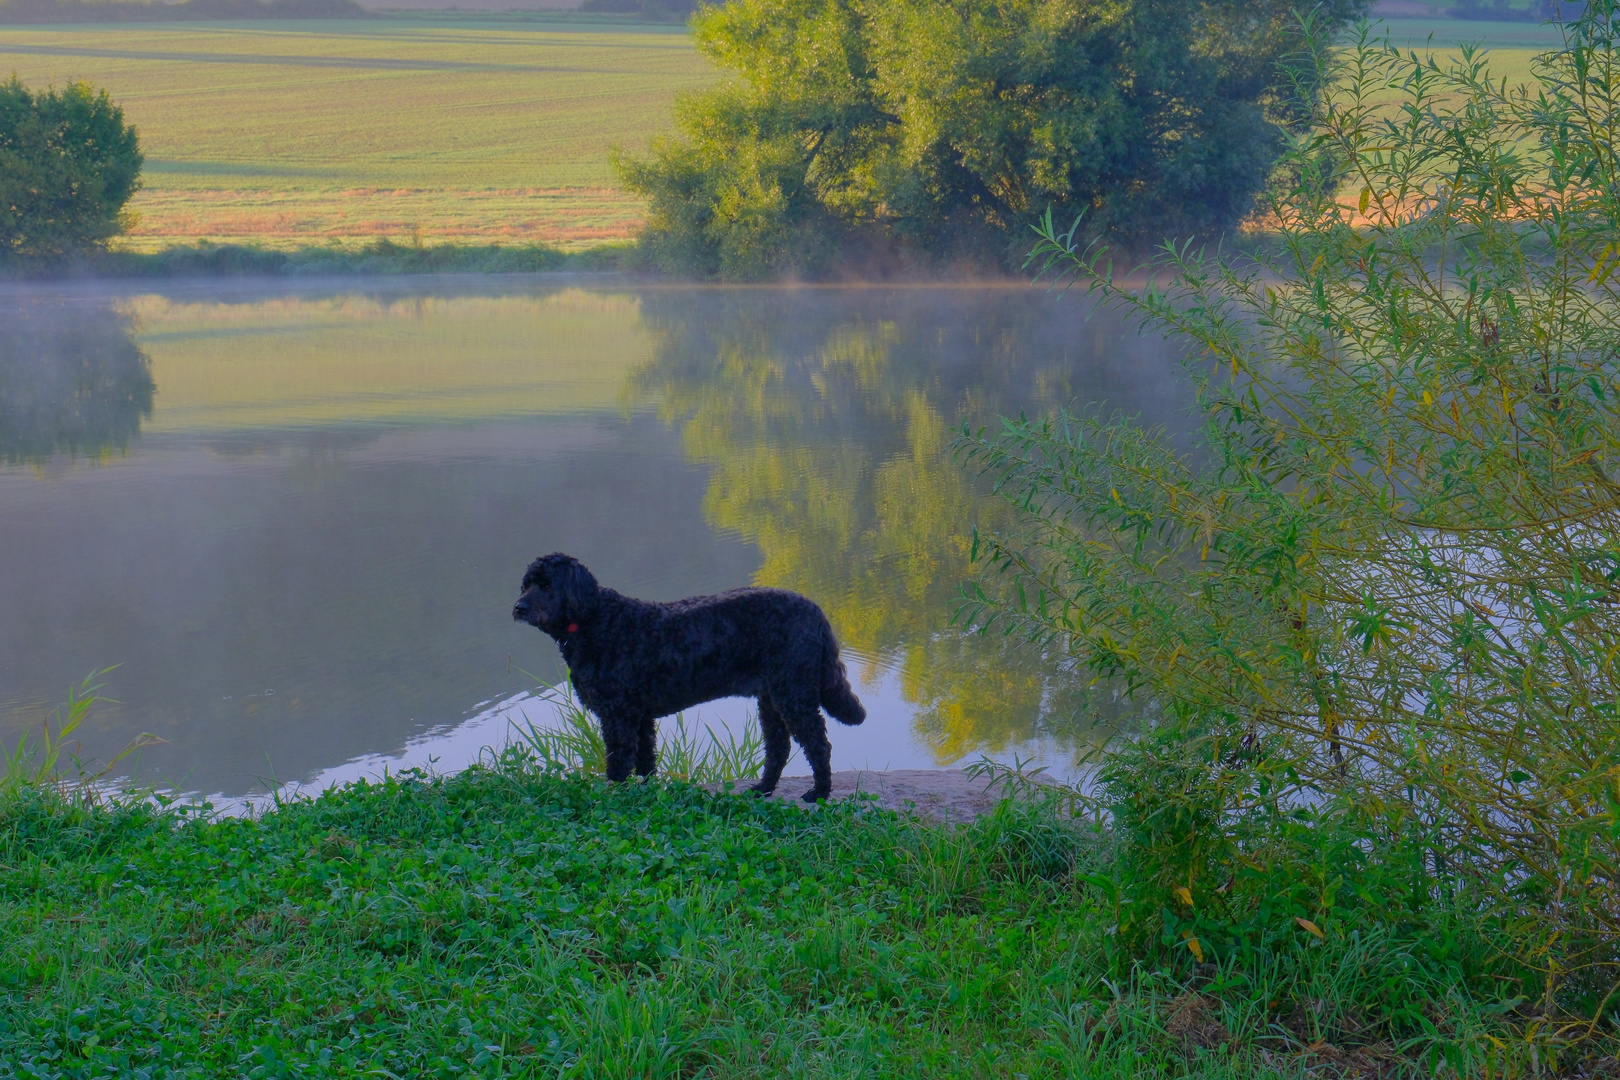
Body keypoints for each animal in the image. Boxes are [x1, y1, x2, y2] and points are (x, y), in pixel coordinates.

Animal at [511, 557, 868, 803]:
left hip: (793, 696)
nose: (519, 607)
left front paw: (616, 795)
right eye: (526, 584)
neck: (597, 621)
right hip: (772, 701)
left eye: (548, 585)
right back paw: (764, 788)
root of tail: (816, 612)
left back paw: (819, 792)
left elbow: (619, 764)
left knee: (818, 744)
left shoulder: (618, 719)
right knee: (778, 747)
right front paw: (646, 793)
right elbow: (645, 761)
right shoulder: (639, 717)